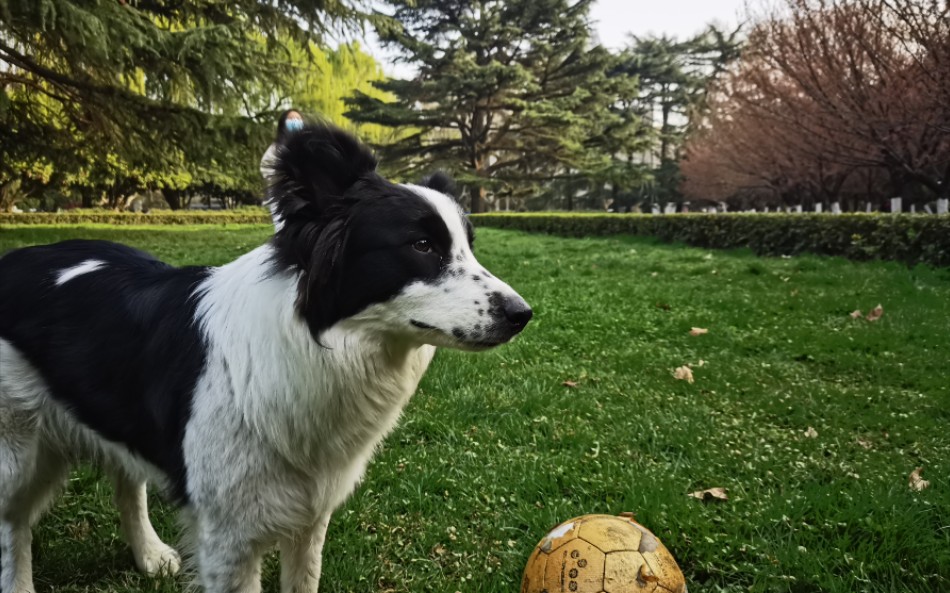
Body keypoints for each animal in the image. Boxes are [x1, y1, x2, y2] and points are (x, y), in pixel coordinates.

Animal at [0, 122, 536, 588]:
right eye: (422, 245)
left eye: (469, 246)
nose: (523, 313)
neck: (318, 346)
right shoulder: (228, 539)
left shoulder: (308, 514)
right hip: (18, 452)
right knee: (12, 527)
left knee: (126, 482)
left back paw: (148, 554)